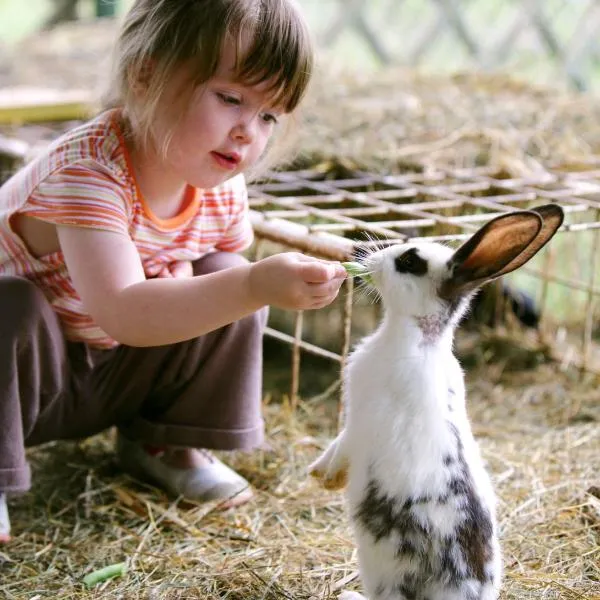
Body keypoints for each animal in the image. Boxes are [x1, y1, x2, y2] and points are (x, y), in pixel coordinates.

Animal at [310, 204, 564, 596]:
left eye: (409, 261)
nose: (366, 254)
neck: (421, 338)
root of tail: (465, 590)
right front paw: (318, 474)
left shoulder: (359, 421)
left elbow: (342, 446)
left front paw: (325, 476)